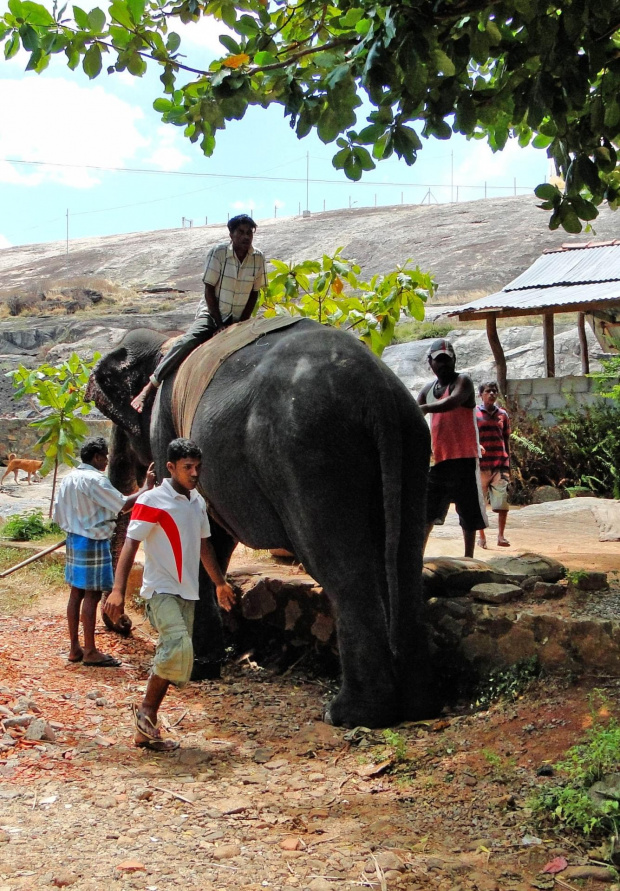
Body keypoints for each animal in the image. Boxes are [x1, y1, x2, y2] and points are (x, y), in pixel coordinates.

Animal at [87, 320, 434, 732]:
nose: (123, 624)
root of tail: (376, 392)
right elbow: (210, 537)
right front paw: (207, 662)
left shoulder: (166, 428)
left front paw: (200, 669)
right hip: (412, 442)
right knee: (405, 560)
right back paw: (417, 704)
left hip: (308, 453)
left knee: (343, 570)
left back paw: (348, 713)